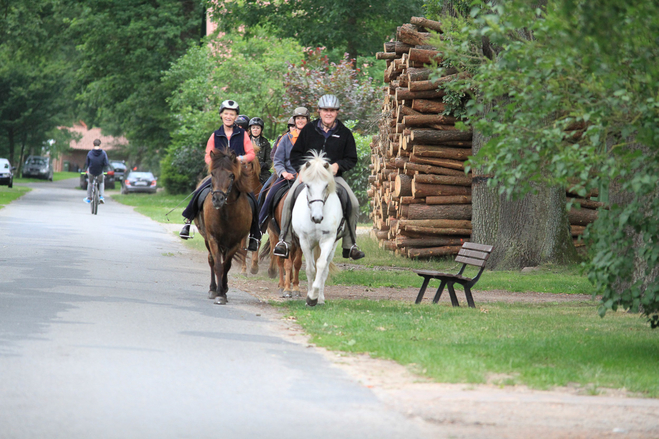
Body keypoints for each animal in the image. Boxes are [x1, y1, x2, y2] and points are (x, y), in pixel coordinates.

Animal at [193, 148, 255, 306]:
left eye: (231, 175)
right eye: (213, 173)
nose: (217, 199)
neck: (226, 212)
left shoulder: (235, 242)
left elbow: (227, 265)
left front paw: (224, 292)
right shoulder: (213, 239)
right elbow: (218, 265)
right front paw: (219, 293)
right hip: (207, 239)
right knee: (211, 260)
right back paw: (213, 289)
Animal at [294, 151, 346, 306]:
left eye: (325, 185)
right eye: (308, 185)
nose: (317, 217)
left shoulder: (328, 240)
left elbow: (321, 266)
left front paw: (313, 296)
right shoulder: (305, 241)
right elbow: (310, 269)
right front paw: (309, 296)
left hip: (333, 245)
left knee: (325, 268)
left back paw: (320, 298)